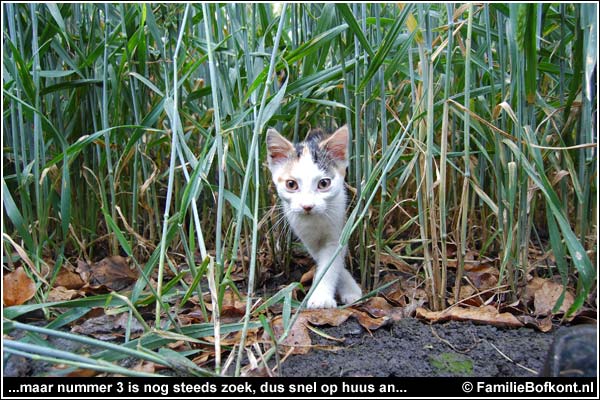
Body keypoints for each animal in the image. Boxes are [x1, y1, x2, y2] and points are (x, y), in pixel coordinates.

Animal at [266, 125, 360, 310]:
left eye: (323, 183)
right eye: (291, 184)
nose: (307, 206)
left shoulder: (338, 226)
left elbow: (332, 260)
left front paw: (323, 296)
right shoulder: (304, 234)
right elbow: (325, 258)